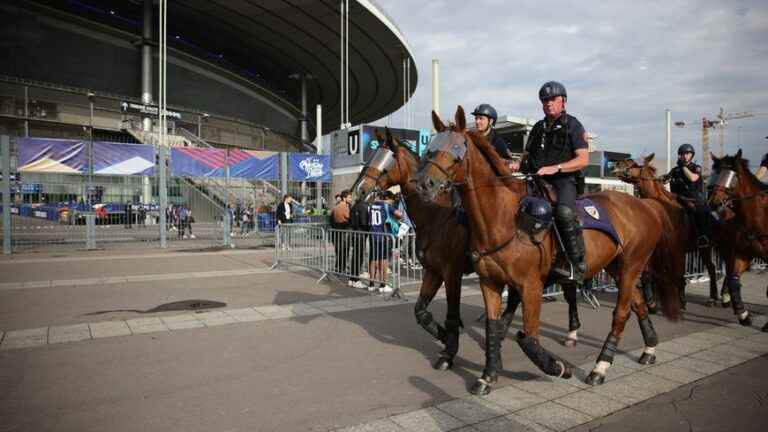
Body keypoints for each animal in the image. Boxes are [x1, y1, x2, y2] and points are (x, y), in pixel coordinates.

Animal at [416, 106, 680, 394]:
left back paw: (600, 367)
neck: (504, 218)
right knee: (639, 304)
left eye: (456, 149)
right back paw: (649, 348)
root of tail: (646, 207)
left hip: (633, 266)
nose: (424, 183)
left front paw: (558, 367)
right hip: (617, 267)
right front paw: (487, 375)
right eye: (430, 147)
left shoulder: (530, 286)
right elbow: (492, 327)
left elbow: (528, 339)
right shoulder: (489, 282)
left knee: (621, 313)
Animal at [612, 154, 728, 308]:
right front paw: (653, 301)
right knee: (713, 268)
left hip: (709, 247)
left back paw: (718, 297)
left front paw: (677, 301)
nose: (615, 164)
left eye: (633, 162)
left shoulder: (674, 249)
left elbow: (675, 274)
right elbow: (650, 274)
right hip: (704, 249)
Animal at [712, 148, 764, 328]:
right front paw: (743, 315)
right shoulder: (742, 252)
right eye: (717, 174)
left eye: (731, 177)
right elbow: (733, 278)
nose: (713, 203)